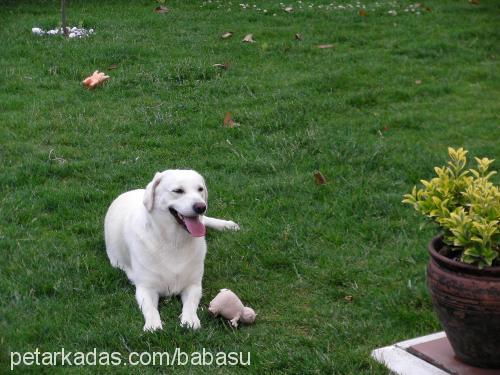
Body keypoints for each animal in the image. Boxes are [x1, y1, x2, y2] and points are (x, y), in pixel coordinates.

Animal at [102, 170, 239, 332]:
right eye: (178, 191)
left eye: (200, 189)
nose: (201, 207)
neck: (174, 242)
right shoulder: (145, 288)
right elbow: (150, 308)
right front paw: (153, 325)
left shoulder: (194, 285)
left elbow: (191, 304)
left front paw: (190, 320)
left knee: (205, 220)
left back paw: (227, 225)